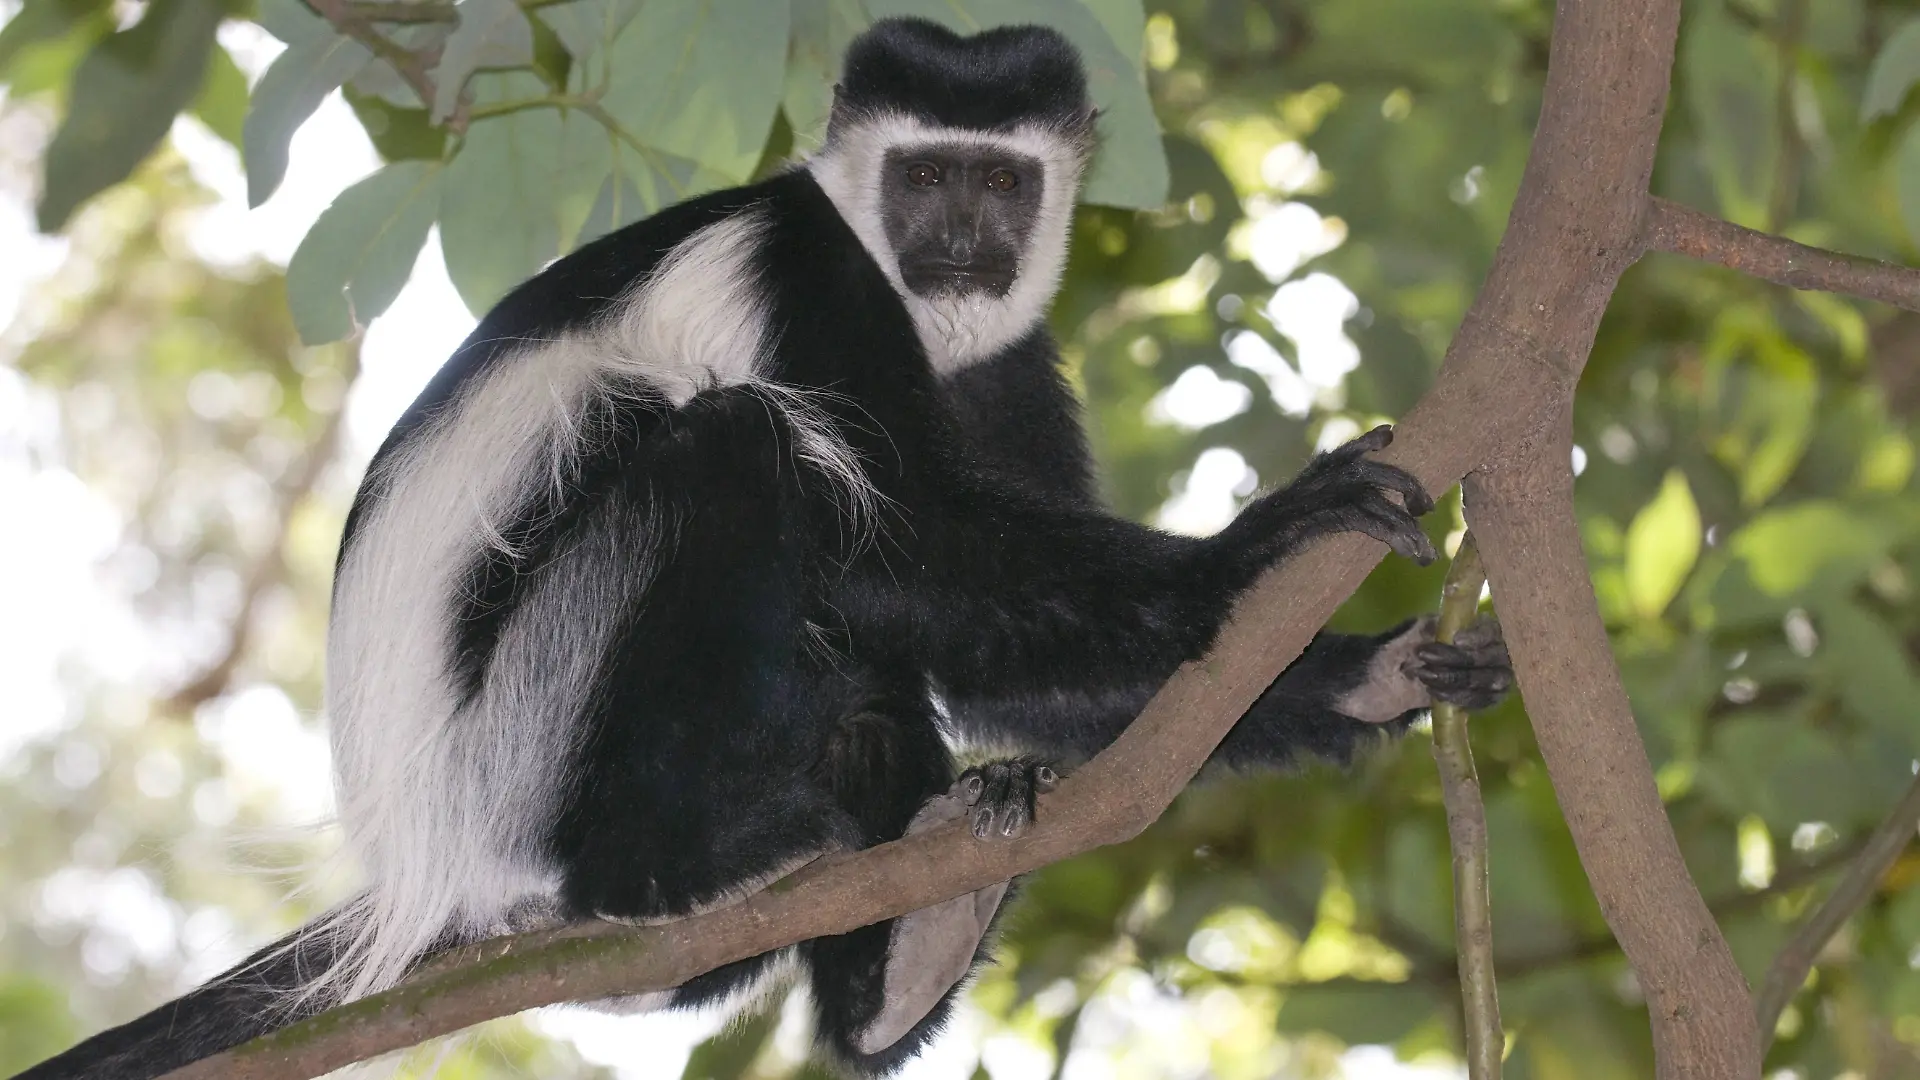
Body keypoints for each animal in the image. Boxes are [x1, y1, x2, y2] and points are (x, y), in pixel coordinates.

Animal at [15, 17, 1511, 1080]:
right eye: (922, 177)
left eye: (1000, 181)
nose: (958, 240)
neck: (918, 307)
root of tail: (426, 861)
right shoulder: (811, 279)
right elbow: (898, 551)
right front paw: (1267, 538)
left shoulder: (1014, 362)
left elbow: (1014, 661)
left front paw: (1369, 673)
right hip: (523, 742)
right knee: (730, 451)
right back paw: (672, 870)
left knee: (869, 693)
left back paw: (893, 956)